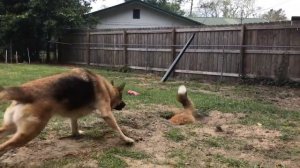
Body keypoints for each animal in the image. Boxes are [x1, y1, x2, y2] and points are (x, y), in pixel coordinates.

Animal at [0, 68, 134, 155]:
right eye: (121, 98)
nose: (125, 105)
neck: (106, 87)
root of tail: (24, 92)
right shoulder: (107, 113)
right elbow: (118, 128)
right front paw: (126, 139)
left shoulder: (73, 116)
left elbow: (74, 125)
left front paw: (77, 133)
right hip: (30, 132)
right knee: (4, 147)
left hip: (12, 128)